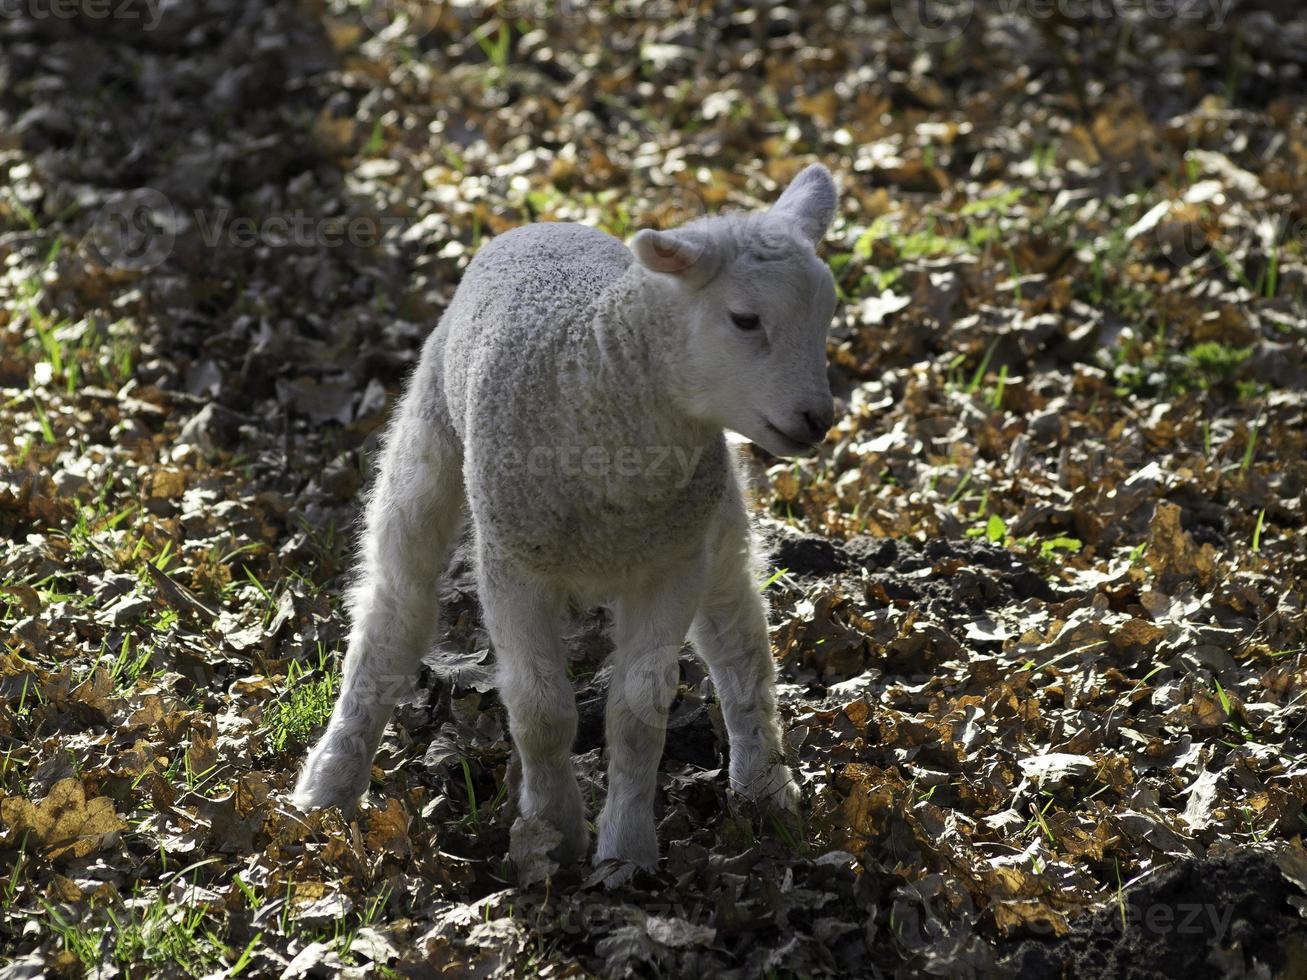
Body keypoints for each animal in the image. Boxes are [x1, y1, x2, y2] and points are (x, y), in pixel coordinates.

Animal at [295, 163, 841, 872]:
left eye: (827, 314)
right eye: (745, 319)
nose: (817, 419)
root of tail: (546, 222)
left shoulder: (672, 563)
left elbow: (639, 713)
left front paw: (625, 853)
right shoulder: (513, 565)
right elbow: (541, 710)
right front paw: (554, 833)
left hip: (712, 519)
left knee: (738, 640)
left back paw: (765, 786)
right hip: (430, 435)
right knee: (395, 607)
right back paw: (331, 782)